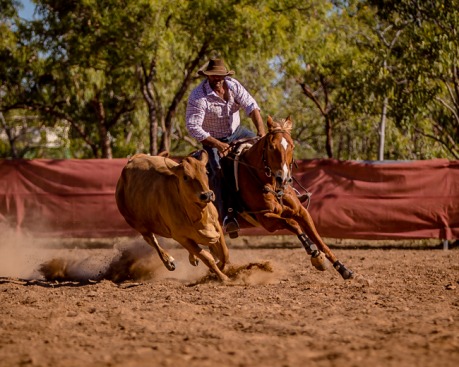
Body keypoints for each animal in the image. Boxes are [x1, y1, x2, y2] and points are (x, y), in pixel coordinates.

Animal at [115, 151, 230, 284]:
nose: (207, 195)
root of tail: (132, 159)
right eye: (185, 177)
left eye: (206, 172)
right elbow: (206, 257)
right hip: (139, 226)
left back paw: (193, 258)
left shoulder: (216, 224)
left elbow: (224, 253)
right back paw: (168, 261)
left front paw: (221, 267)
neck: (199, 215)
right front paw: (223, 277)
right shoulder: (180, 237)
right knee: (152, 241)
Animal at [221, 116, 354, 280]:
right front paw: (314, 252)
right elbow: (292, 223)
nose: (283, 178)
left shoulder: (301, 211)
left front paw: (342, 268)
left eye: (292, 146)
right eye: (271, 147)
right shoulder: (266, 219)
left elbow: (319, 239)